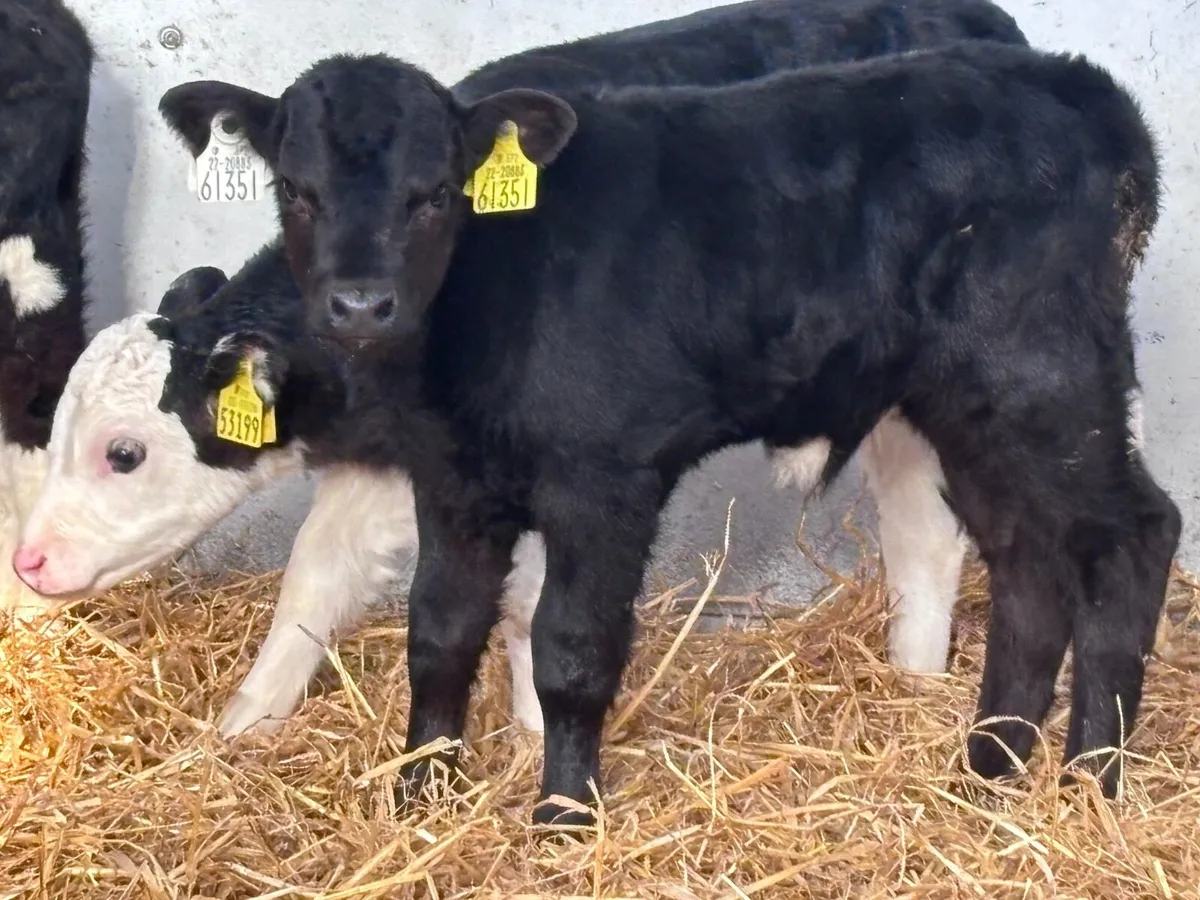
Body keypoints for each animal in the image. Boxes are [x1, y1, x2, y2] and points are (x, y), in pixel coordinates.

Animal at [14, 0, 1031, 737]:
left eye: (125, 453)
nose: (27, 561)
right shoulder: (399, 461)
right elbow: (315, 576)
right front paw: (240, 727)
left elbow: (525, 608)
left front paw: (537, 741)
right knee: (922, 532)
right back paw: (913, 682)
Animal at [118, 40, 1177, 827]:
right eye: (297, 190)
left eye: (436, 192)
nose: (359, 304)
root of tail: (1080, 87)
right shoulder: (454, 479)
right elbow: (441, 631)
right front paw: (421, 791)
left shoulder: (605, 476)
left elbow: (571, 647)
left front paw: (562, 816)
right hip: (974, 406)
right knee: (1028, 564)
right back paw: (988, 772)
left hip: (1044, 381)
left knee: (1135, 534)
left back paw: (1091, 784)